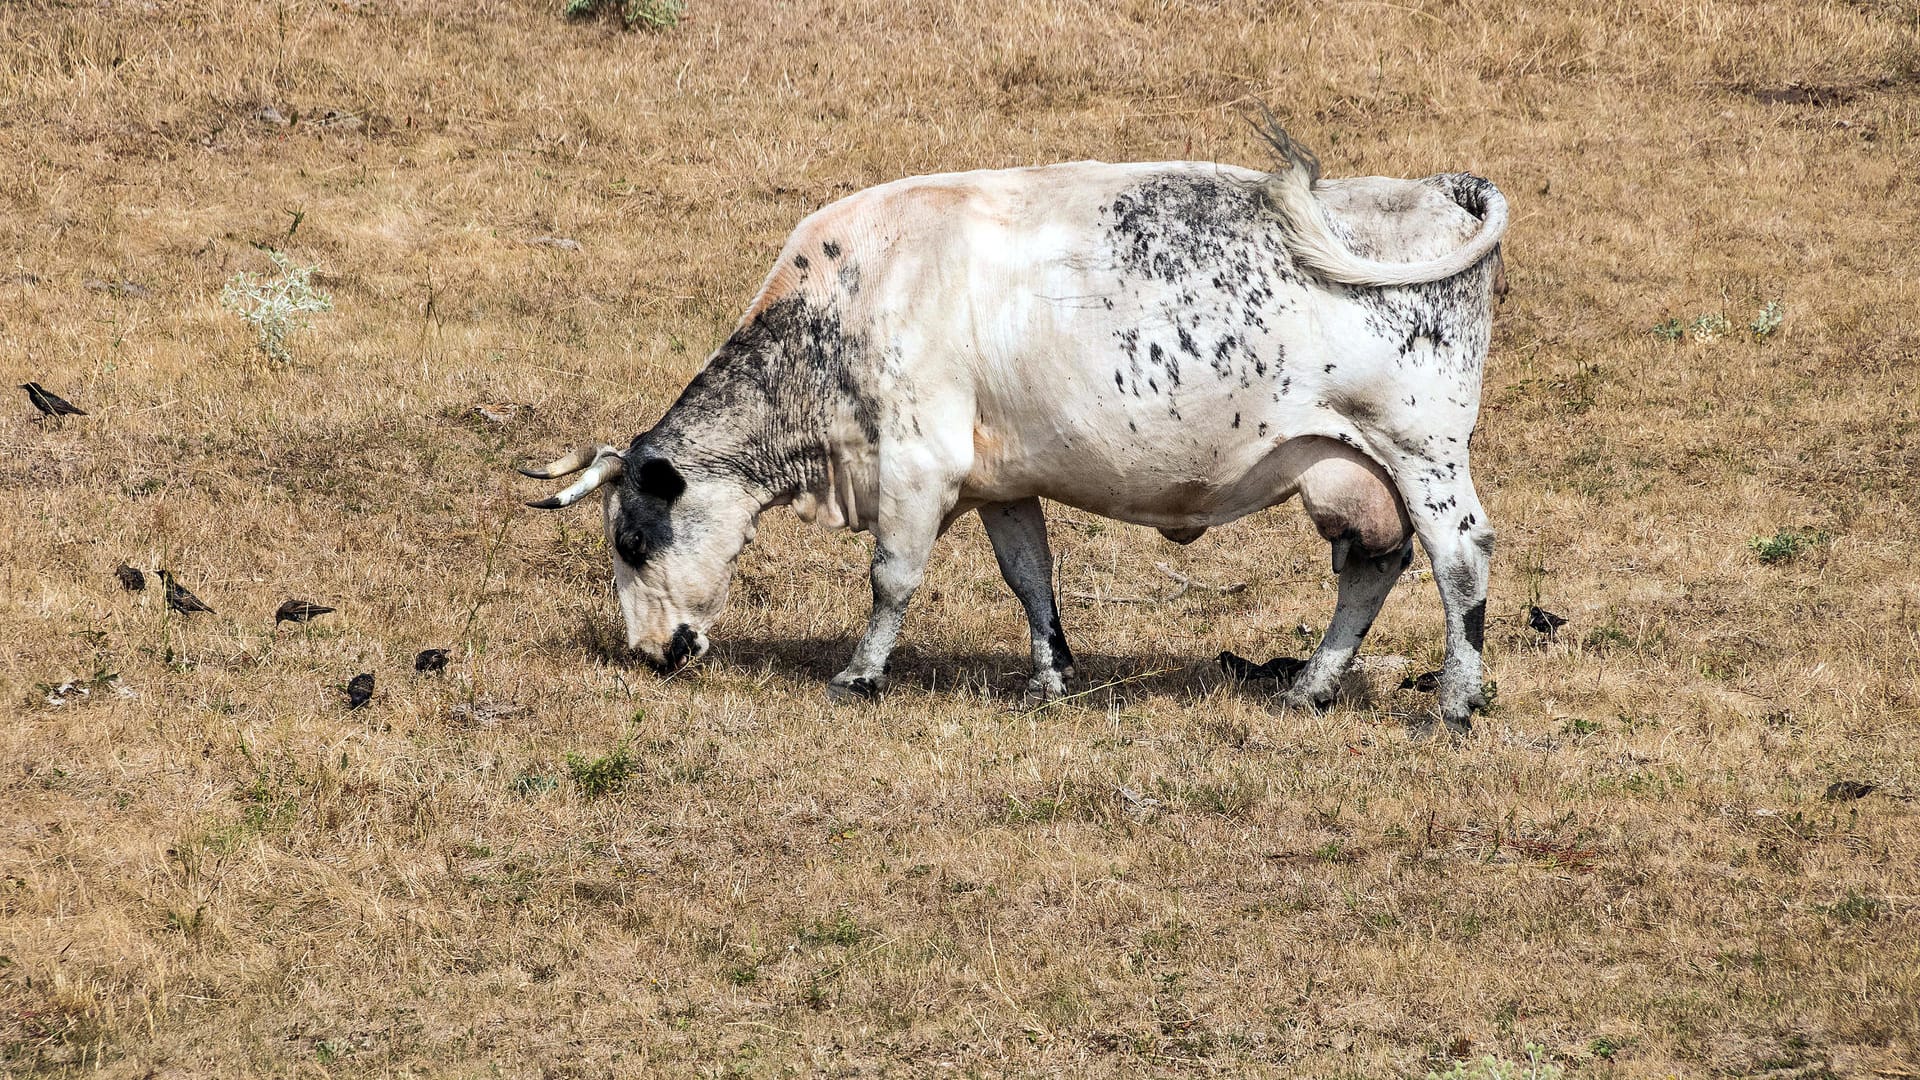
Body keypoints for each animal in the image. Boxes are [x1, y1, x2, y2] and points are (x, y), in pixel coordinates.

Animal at [529, 127, 1512, 730]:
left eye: (631, 539)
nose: (648, 653)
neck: (844, 305)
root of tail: (1436, 191)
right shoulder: (1002, 482)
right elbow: (1031, 578)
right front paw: (1048, 678)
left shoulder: (918, 463)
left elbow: (892, 577)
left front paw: (859, 675)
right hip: (1351, 467)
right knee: (1373, 565)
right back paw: (1308, 688)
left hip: (1426, 455)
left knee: (1459, 561)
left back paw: (1454, 702)